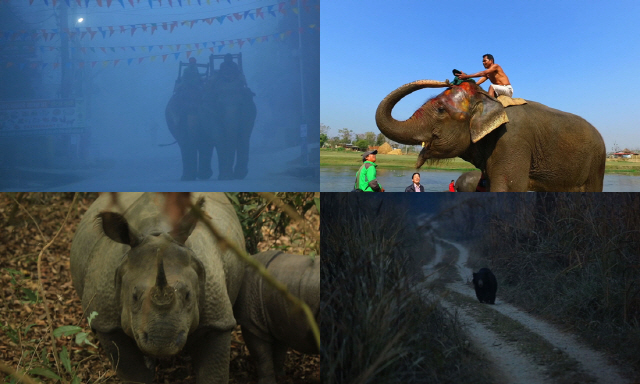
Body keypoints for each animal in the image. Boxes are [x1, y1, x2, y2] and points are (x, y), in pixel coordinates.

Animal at [376, 80, 604, 191]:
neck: (486, 99)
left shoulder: (512, 141)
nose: (445, 81)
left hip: (597, 162)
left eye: (440, 109)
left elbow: (509, 188)